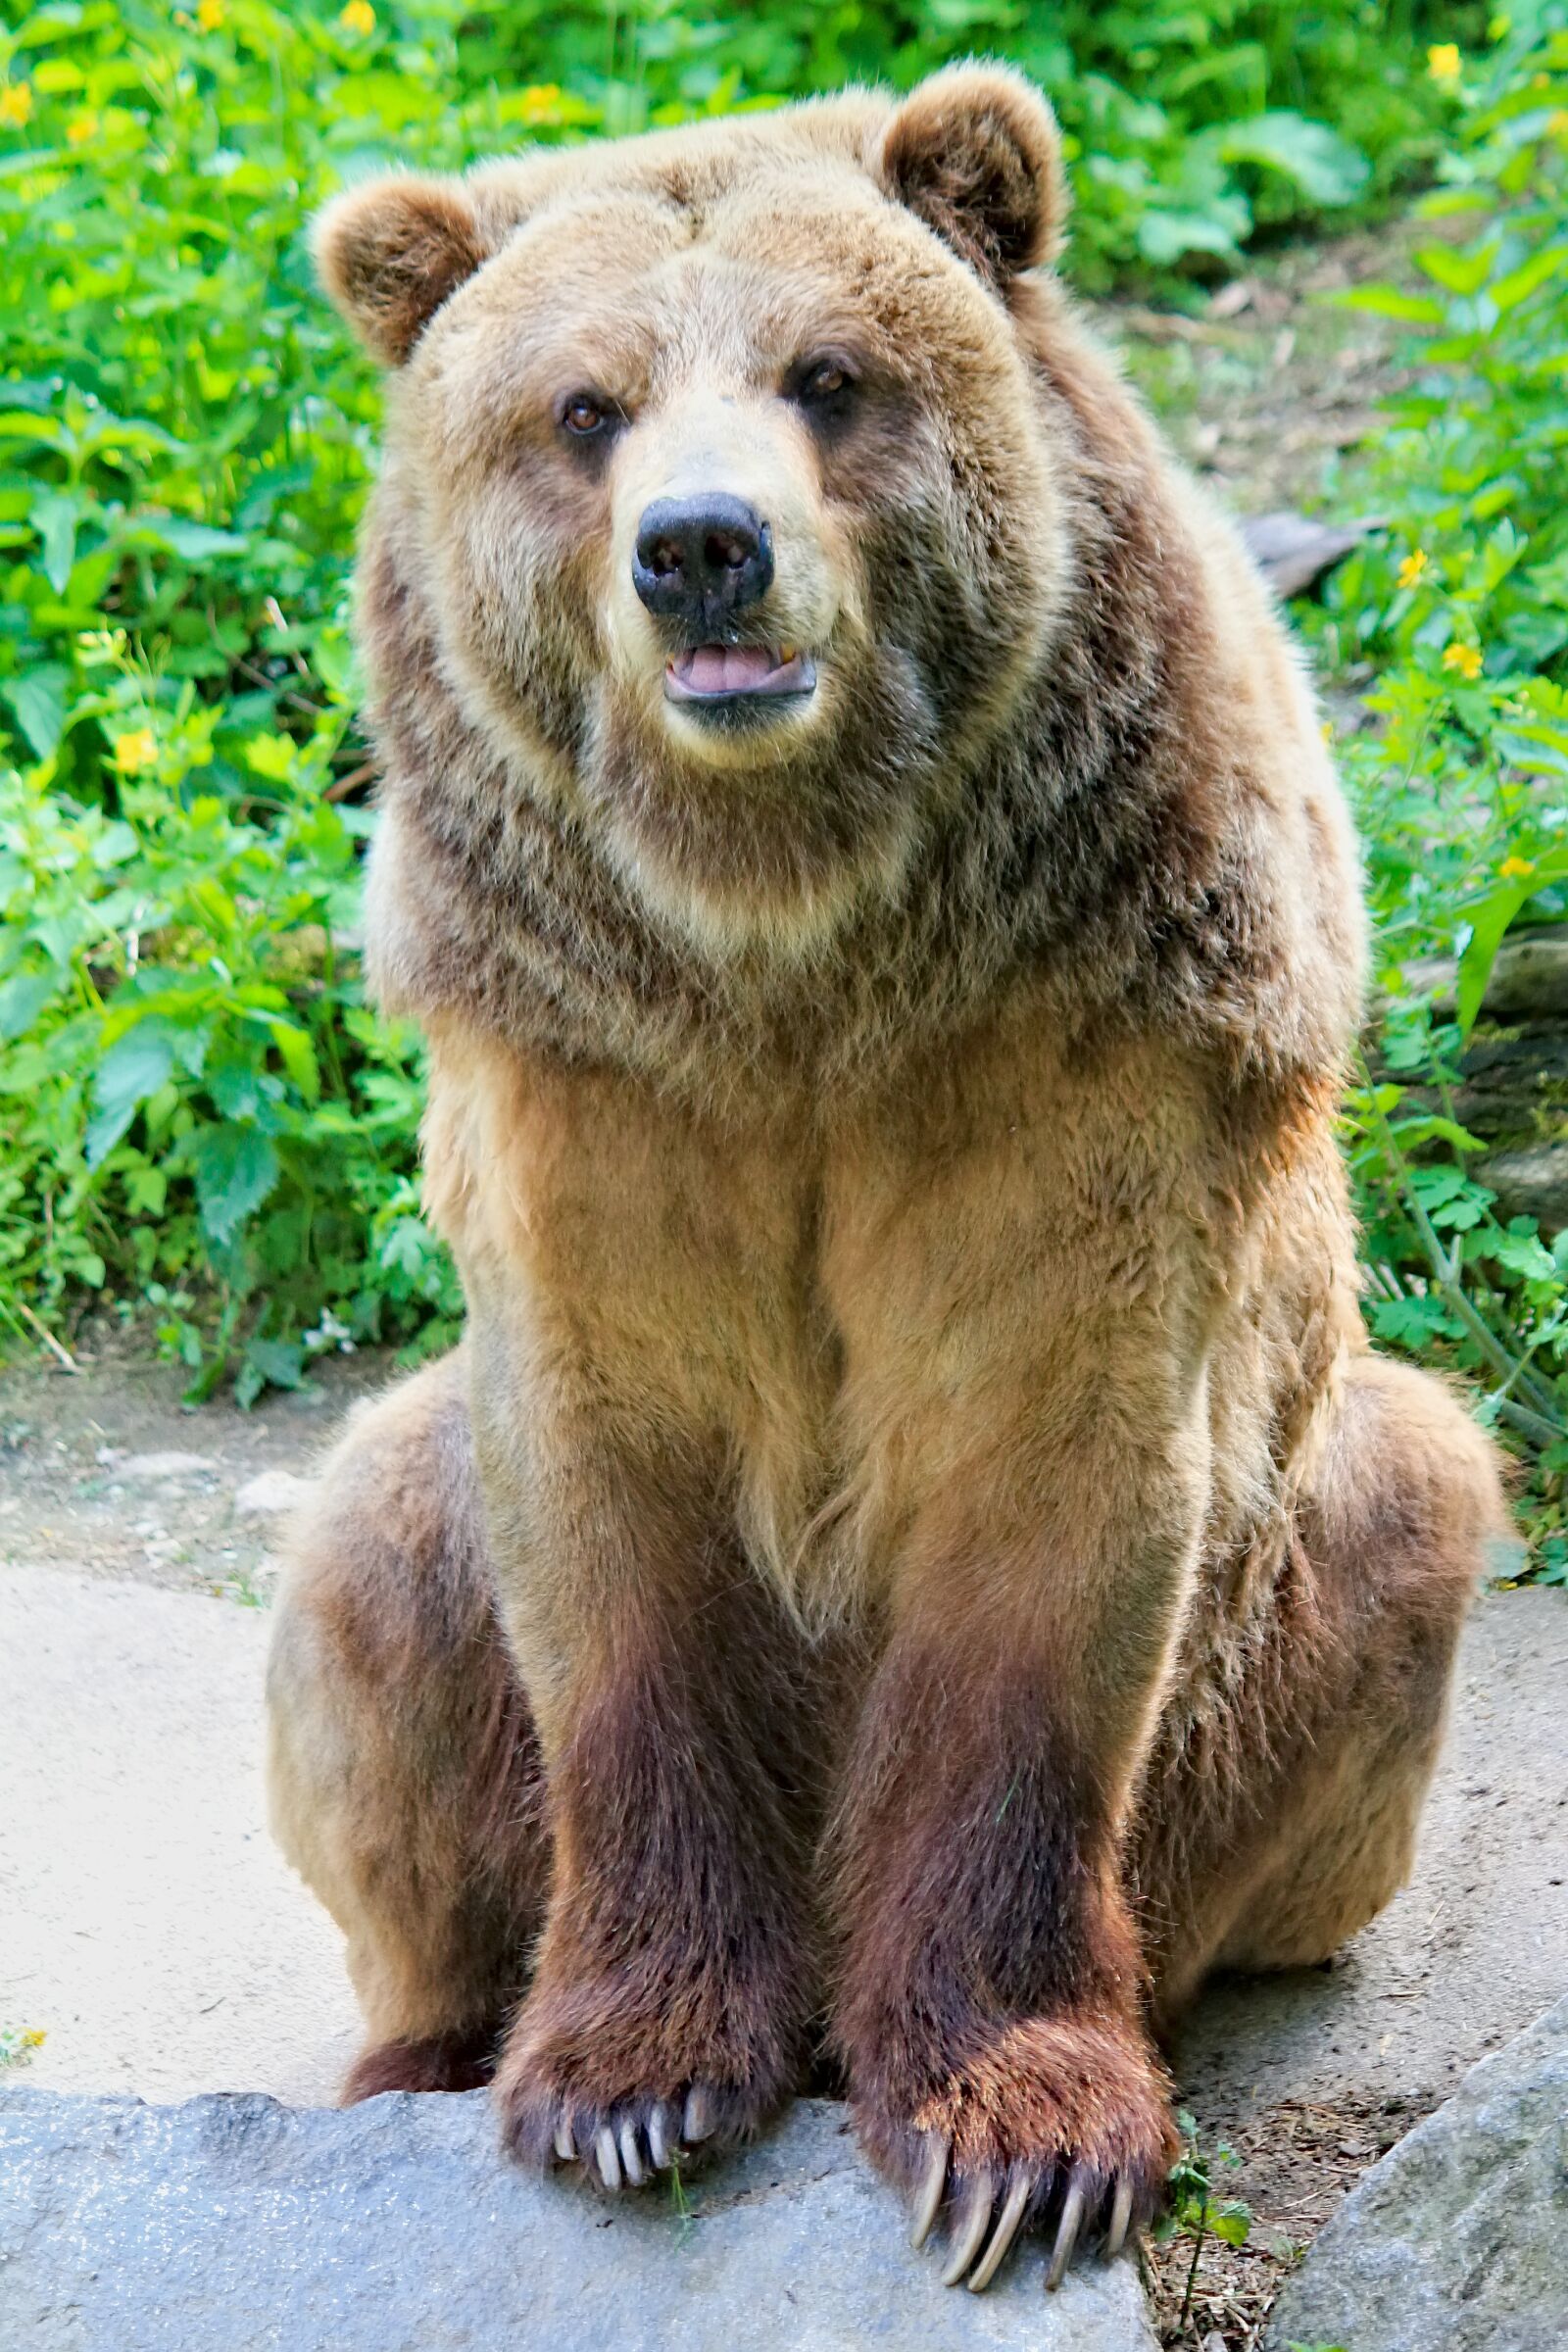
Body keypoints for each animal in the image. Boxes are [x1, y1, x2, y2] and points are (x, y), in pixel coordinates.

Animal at [266, 63, 1507, 2294]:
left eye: (826, 374)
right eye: (582, 407)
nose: (702, 549)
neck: (798, 943)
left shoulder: (1077, 1039)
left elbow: (1052, 1511)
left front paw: (1016, 2138)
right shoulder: (591, 1074)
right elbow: (603, 1503)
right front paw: (630, 2081)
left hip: (1306, 1624)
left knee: (1411, 1493)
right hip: (405, 1551)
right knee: (364, 1563)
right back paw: (417, 2049)